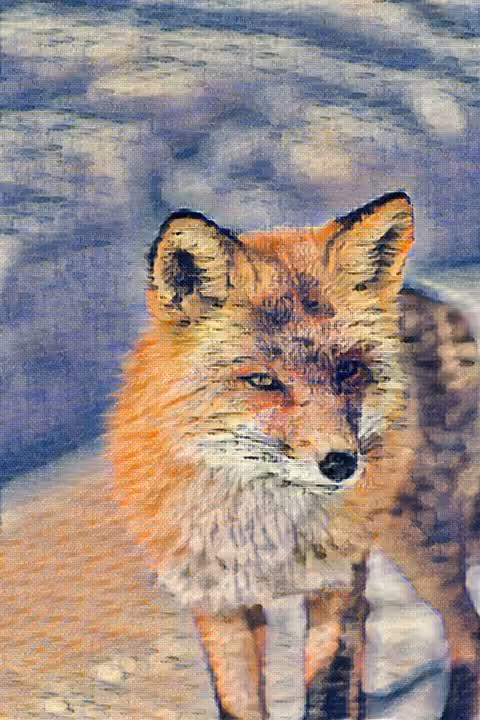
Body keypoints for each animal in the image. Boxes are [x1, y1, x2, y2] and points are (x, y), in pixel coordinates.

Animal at [109, 191, 480, 720]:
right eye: (263, 380)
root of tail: (428, 299)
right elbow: (240, 704)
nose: (341, 464)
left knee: (468, 632)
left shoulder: (337, 583)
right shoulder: (218, 600)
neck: (266, 528)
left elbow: (329, 696)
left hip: (424, 543)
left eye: (348, 370)